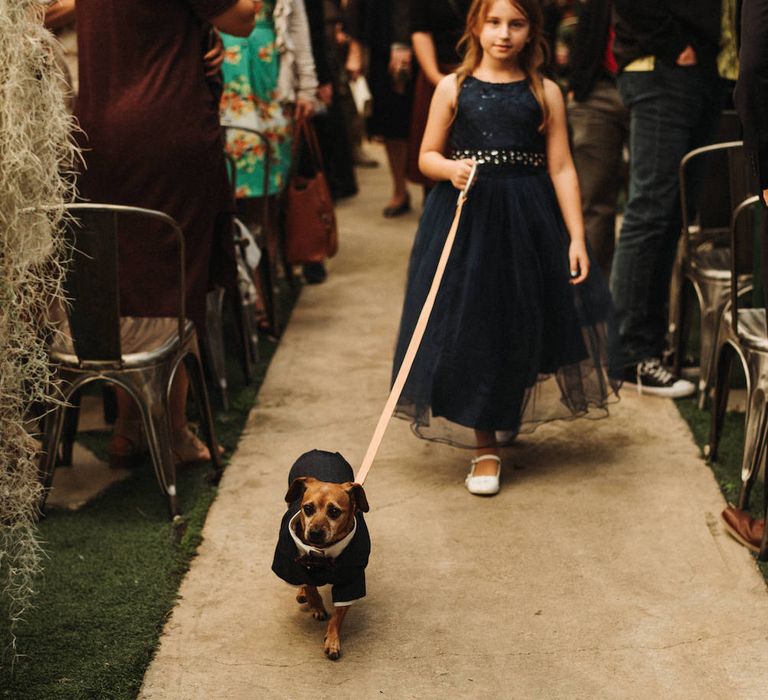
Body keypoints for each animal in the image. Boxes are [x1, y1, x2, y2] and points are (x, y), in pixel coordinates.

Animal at [272, 452, 370, 660]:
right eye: (308, 508)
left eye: (334, 511)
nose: (315, 532)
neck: (321, 554)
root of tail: (320, 451)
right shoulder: (292, 565)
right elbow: (309, 585)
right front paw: (316, 604)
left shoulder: (351, 581)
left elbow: (338, 616)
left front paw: (332, 640)